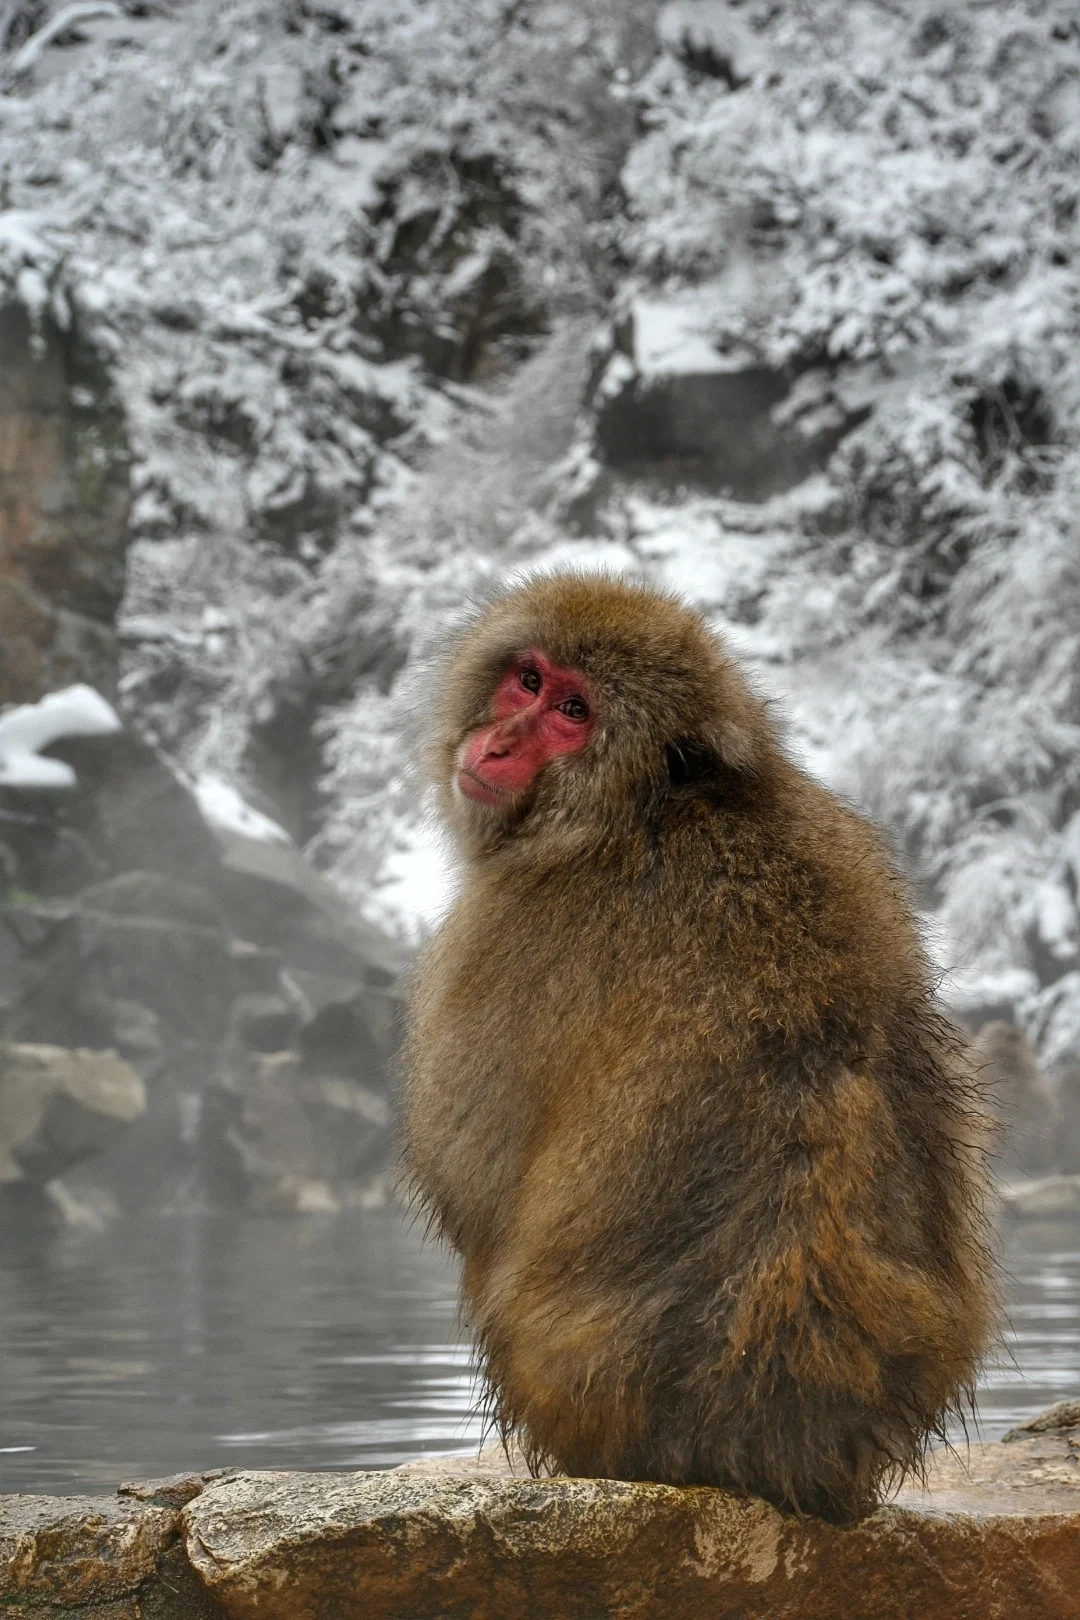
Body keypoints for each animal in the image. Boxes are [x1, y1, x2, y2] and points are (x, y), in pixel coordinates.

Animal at [403, 572, 996, 1523]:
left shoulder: (510, 931)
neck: (648, 810)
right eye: (529, 680)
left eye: (573, 712)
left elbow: (472, 1176)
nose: (495, 743)